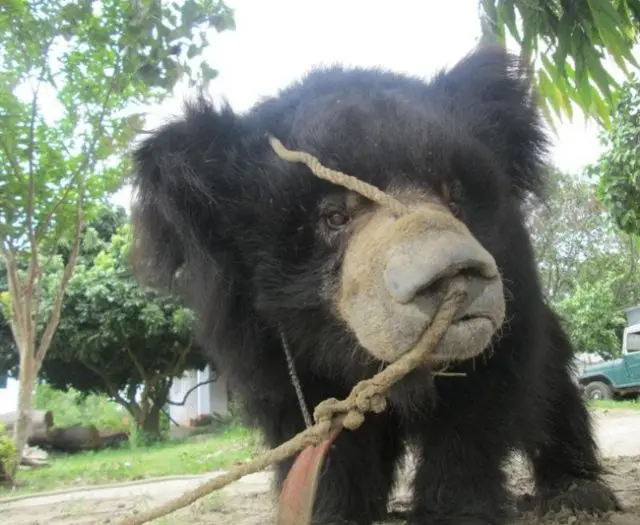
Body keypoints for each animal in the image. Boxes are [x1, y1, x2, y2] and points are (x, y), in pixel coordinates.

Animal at [131, 46, 620, 524]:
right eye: (334, 216)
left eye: (454, 196)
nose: (455, 273)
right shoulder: (268, 344)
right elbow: (314, 429)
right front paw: (333, 511)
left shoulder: (512, 302)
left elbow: (476, 412)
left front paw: (452, 512)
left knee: (555, 390)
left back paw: (577, 492)